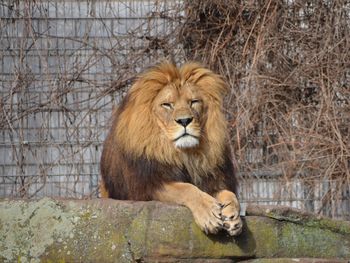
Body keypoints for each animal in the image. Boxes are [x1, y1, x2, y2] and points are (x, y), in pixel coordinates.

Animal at [101, 62, 242, 237]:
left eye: (193, 102)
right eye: (167, 104)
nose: (184, 121)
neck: (183, 154)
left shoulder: (212, 179)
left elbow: (229, 194)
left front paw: (233, 217)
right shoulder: (147, 187)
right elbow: (186, 188)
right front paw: (209, 213)